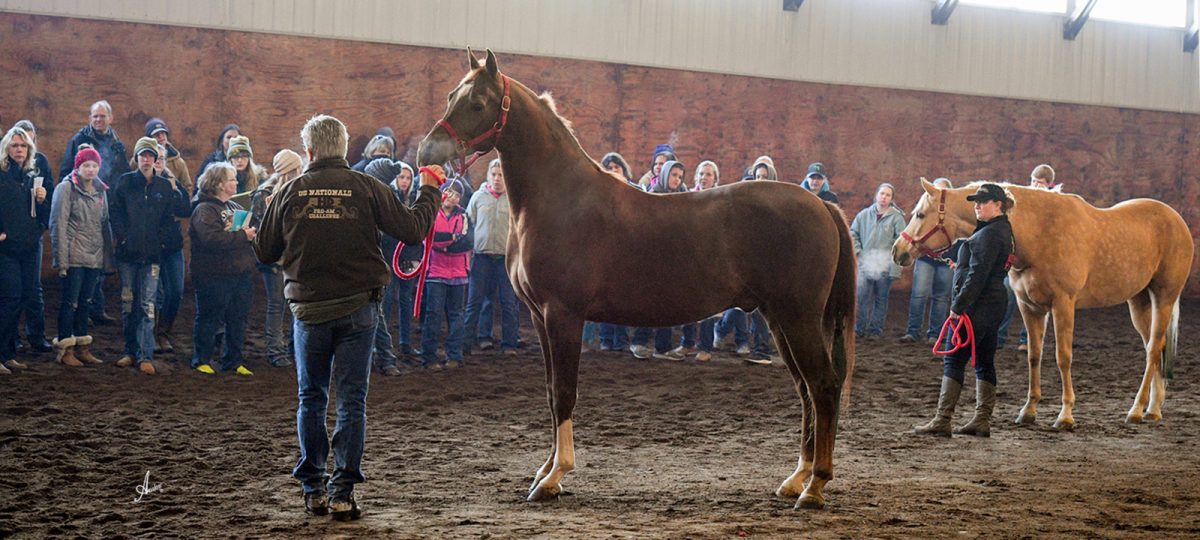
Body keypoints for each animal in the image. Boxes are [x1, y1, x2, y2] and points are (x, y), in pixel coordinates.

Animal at [417, 49, 857, 509]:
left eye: (478, 103)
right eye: (451, 95)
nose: (428, 151)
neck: (559, 199)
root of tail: (821, 206)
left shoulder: (563, 315)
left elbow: (565, 392)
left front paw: (555, 477)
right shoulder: (539, 317)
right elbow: (552, 392)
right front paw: (544, 469)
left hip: (798, 317)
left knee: (823, 386)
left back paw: (814, 487)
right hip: (778, 319)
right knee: (805, 390)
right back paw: (796, 478)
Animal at [893, 178, 1193, 429]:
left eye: (920, 215)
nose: (898, 251)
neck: (1039, 233)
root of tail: (1176, 220)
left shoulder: (1063, 305)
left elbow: (1063, 357)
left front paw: (1066, 415)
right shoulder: (1030, 307)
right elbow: (1034, 356)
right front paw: (1028, 411)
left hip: (1164, 296)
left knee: (1153, 349)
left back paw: (1137, 410)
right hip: (1138, 300)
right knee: (1154, 347)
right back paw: (1153, 408)